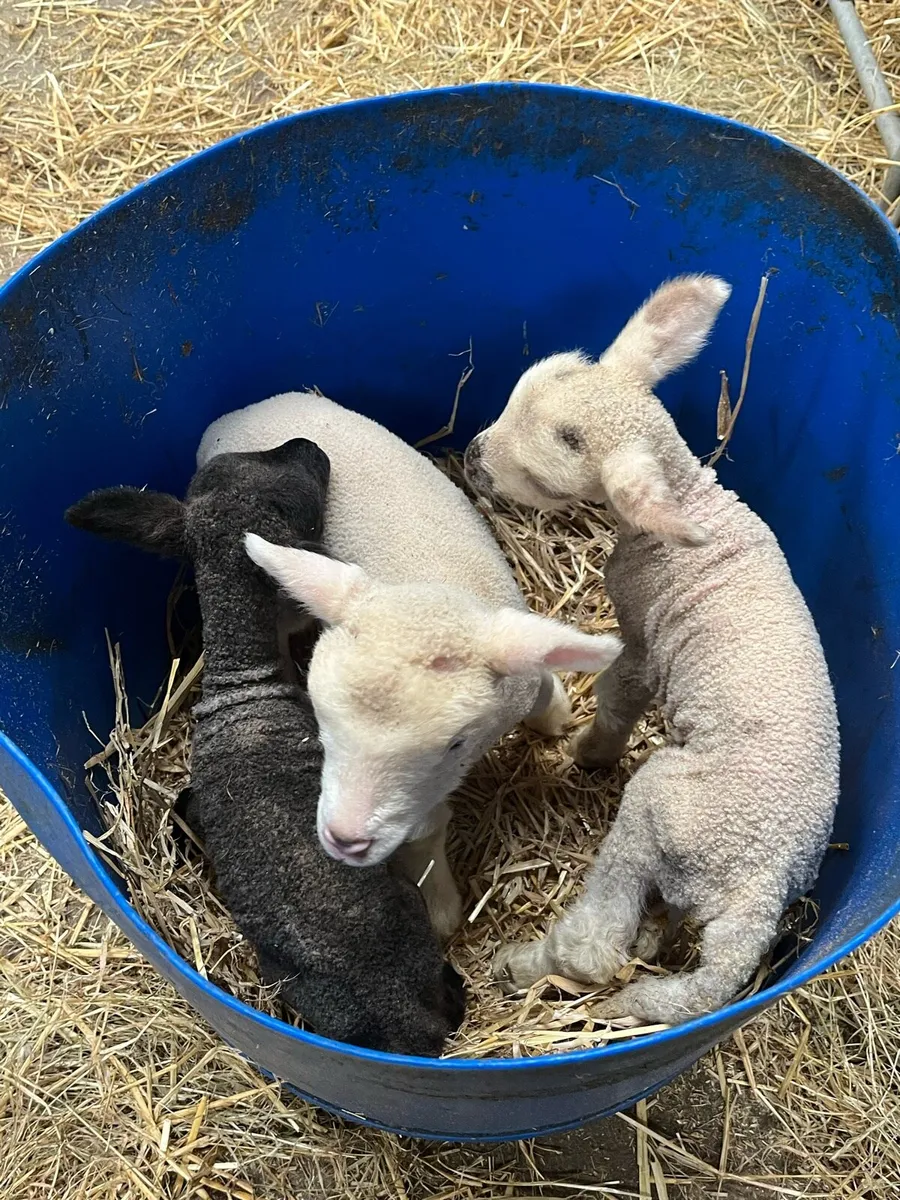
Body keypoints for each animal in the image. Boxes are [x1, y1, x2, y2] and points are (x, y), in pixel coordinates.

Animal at [198, 392, 622, 939]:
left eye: (456, 743)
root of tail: (241, 411)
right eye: (321, 724)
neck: (434, 584)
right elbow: (424, 835)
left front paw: (555, 716)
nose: (345, 839)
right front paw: (439, 907)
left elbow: (539, 684)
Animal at [463, 275, 840, 1024]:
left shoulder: (639, 636)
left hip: (661, 811)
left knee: (595, 942)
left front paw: (589, 751)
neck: (690, 499)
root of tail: (760, 888)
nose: (471, 458)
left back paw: (524, 965)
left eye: (543, 477)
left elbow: (618, 697)